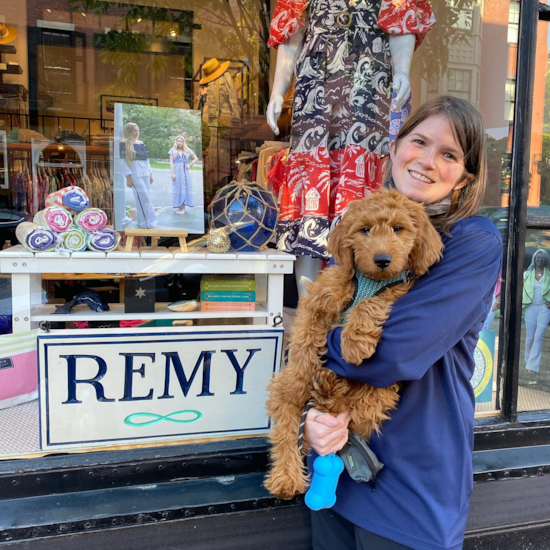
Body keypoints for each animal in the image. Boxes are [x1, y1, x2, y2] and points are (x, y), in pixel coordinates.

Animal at [266, 189, 446, 500]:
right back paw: (286, 477)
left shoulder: (398, 290)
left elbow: (372, 303)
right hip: (283, 399)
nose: (383, 259)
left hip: (378, 394)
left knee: (354, 406)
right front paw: (303, 368)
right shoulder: (325, 293)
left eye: (398, 228)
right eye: (365, 230)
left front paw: (354, 342)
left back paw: (329, 386)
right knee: (287, 428)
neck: (369, 280)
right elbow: (307, 334)